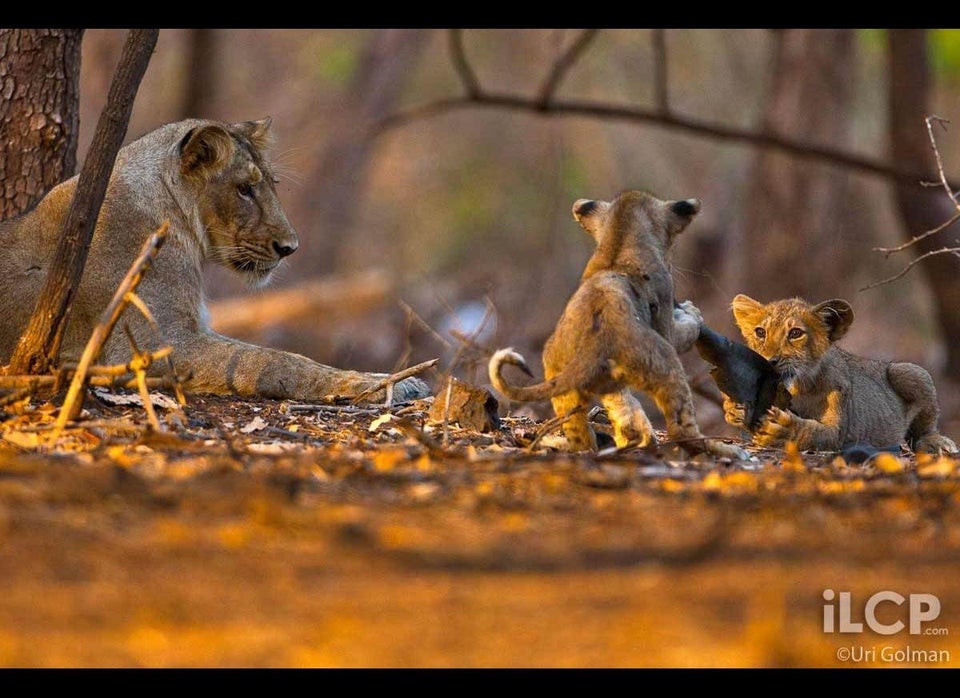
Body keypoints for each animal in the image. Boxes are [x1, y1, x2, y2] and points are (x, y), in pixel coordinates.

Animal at [0, 117, 432, 402]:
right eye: (244, 189)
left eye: (271, 184)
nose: (290, 247)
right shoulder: (152, 346)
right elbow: (275, 362)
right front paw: (385, 384)